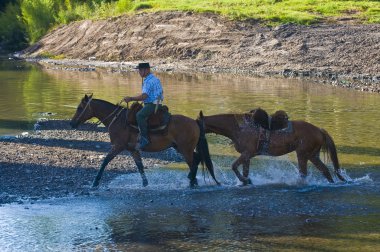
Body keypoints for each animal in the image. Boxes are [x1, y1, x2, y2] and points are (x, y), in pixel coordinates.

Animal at [70, 94, 220, 187]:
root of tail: (195, 122)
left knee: (193, 163)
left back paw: (192, 183)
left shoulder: (118, 146)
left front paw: (95, 182)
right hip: (180, 147)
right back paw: (192, 180)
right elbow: (140, 166)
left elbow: (105, 161)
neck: (118, 121)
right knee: (197, 159)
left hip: (185, 149)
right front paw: (145, 183)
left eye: (80, 108)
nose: (72, 123)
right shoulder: (132, 150)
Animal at [199, 109, 348, 185]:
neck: (238, 128)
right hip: (312, 155)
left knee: (304, 173)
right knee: (325, 171)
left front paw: (245, 180)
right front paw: (246, 181)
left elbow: (234, 166)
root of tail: (319, 130)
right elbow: (244, 171)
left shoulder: (247, 153)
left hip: (303, 154)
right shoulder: (247, 157)